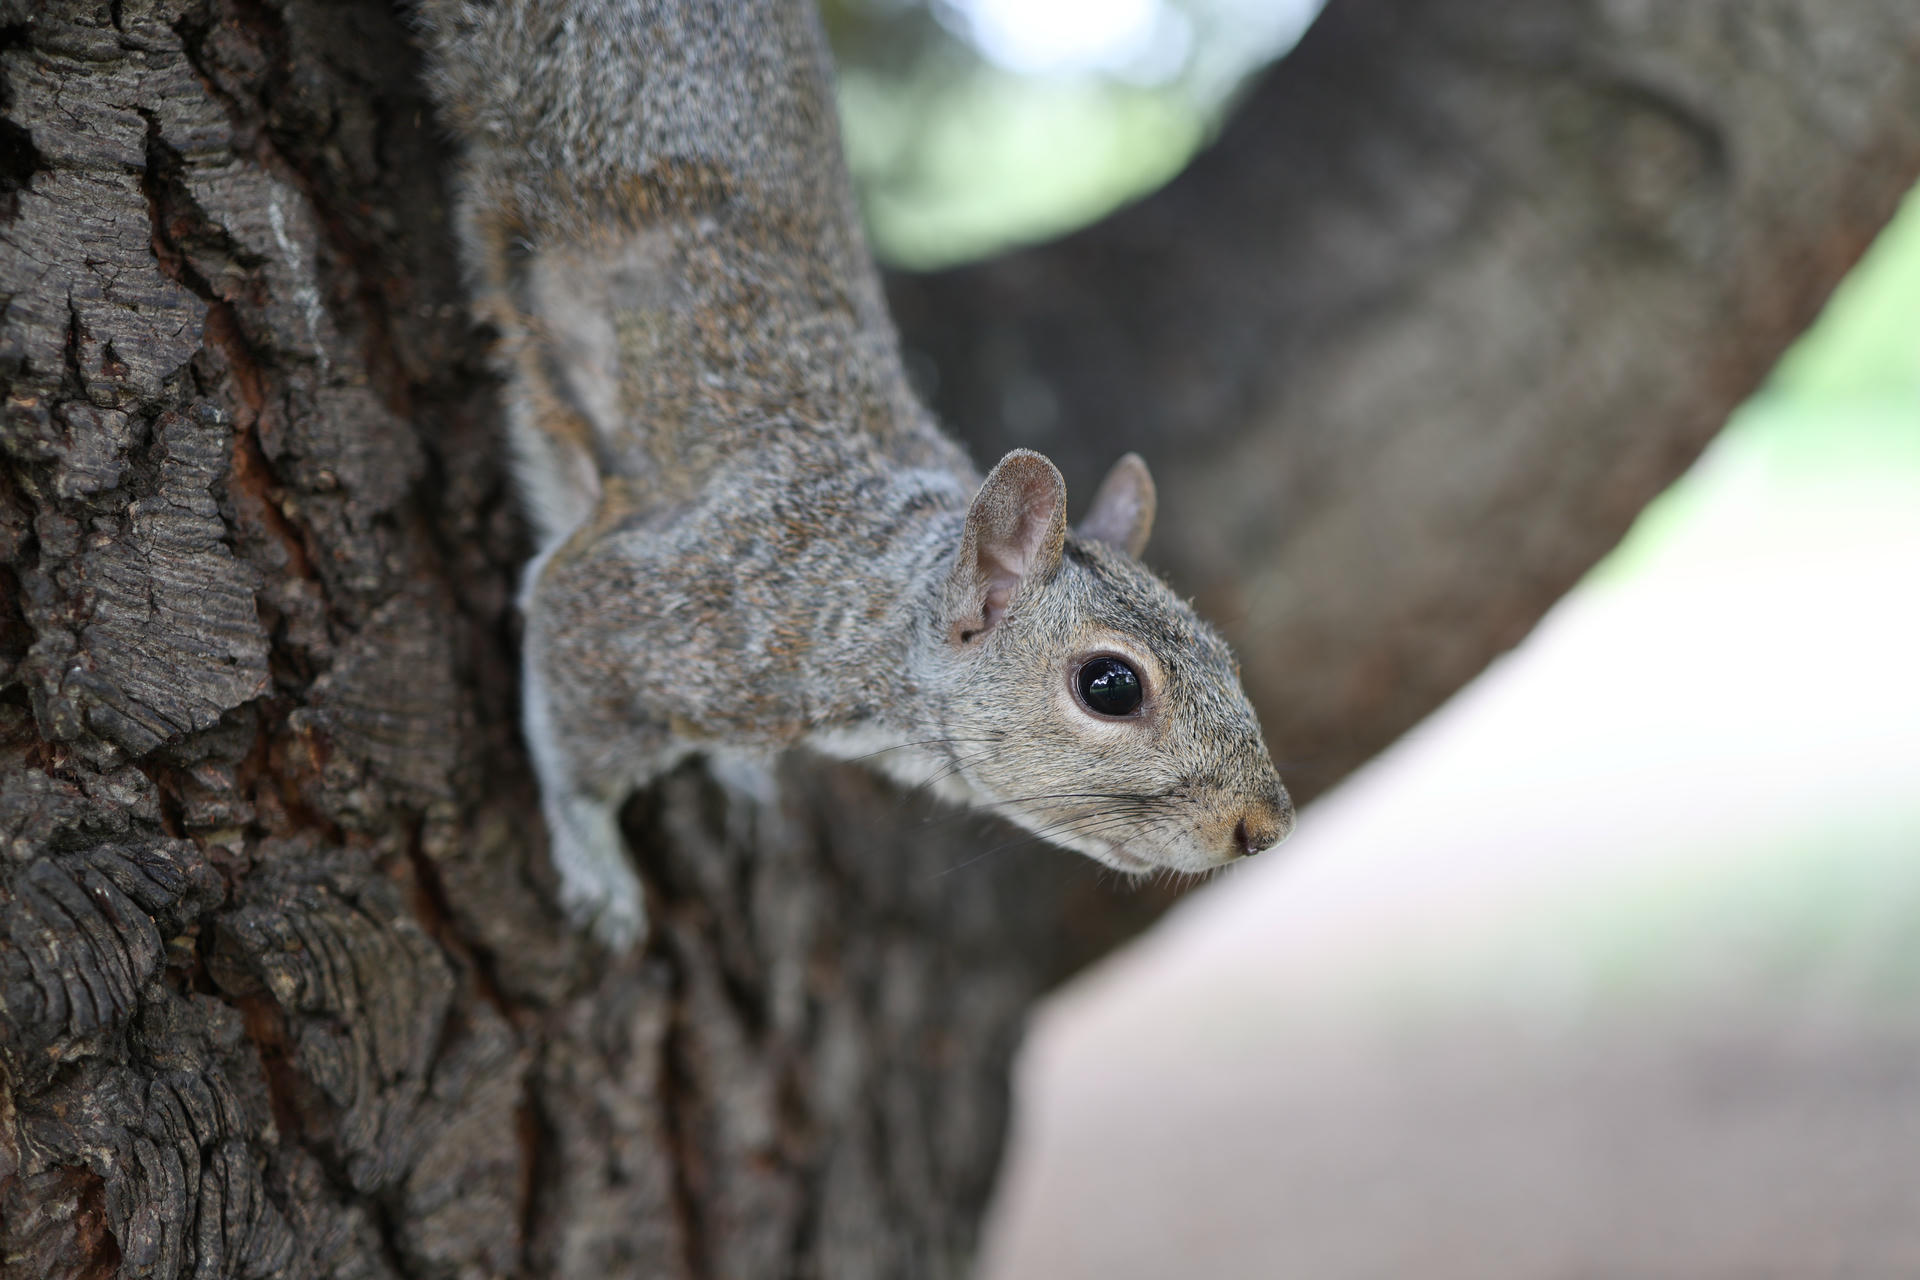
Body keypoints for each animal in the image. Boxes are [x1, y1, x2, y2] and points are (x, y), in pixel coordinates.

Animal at [417, 0, 1293, 947]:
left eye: (1222, 650)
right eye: (1110, 686)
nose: (1266, 828)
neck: (863, 596)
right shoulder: (653, 601)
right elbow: (573, 733)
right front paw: (597, 867)